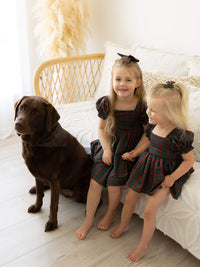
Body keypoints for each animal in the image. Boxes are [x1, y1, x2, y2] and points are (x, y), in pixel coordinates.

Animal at [14, 96, 92, 232]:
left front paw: (52, 223)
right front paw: (37, 206)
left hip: (79, 191)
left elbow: (53, 205)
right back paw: (35, 188)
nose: (18, 123)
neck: (36, 144)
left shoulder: (54, 180)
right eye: (22, 108)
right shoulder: (37, 174)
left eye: (36, 113)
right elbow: (39, 194)